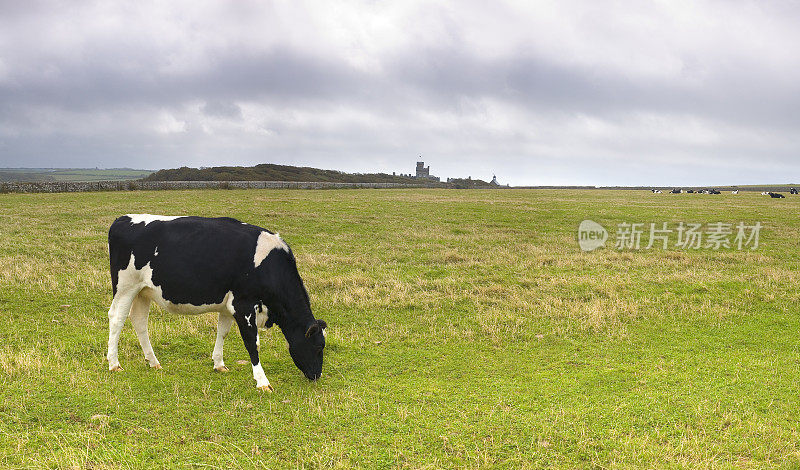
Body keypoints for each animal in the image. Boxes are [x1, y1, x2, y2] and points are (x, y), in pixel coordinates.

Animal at [105, 215, 324, 392]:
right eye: (317, 346)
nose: (316, 375)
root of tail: (122, 219)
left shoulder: (228, 305)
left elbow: (223, 332)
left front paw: (219, 363)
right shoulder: (243, 305)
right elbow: (252, 342)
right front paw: (262, 382)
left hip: (143, 291)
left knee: (139, 321)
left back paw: (153, 361)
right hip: (125, 287)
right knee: (117, 318)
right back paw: (114, 363)